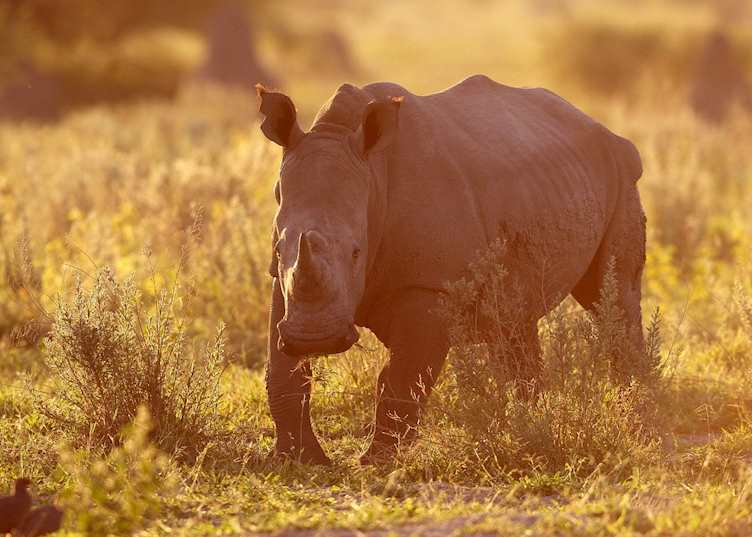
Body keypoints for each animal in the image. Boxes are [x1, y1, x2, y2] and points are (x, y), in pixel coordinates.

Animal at [257, 75, 646, 465]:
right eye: (277, 248)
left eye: (356, 253)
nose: (314, 339)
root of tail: (599, 126)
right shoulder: (283, 282)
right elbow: (283, 371)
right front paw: (300, 459)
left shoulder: (429, 285)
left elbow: (403, 378)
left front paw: (378, 462)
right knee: (513, 319)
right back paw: (532, 426)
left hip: (622, 176)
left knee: (611, 299)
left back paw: (636, 423)